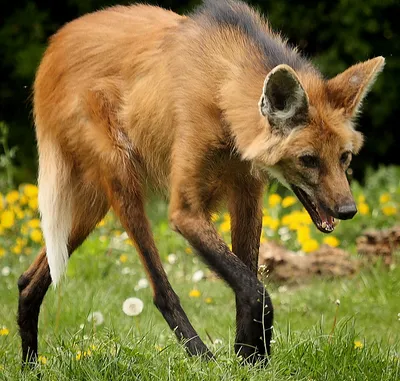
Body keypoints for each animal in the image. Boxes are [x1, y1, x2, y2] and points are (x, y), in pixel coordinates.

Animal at [18, 0, 384, 366]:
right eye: (308, 160)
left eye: (344, 157)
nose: (348, 210)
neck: (222, 92)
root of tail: (52, 50)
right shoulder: (186, 210)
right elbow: (255, 289)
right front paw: (250, 356)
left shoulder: (247, 195)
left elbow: (247, 280)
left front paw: (250, 358)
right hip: (122, 178)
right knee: (160, 291)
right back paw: (201, 356)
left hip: (93, 203)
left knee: (28, 279)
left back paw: (30, 363)